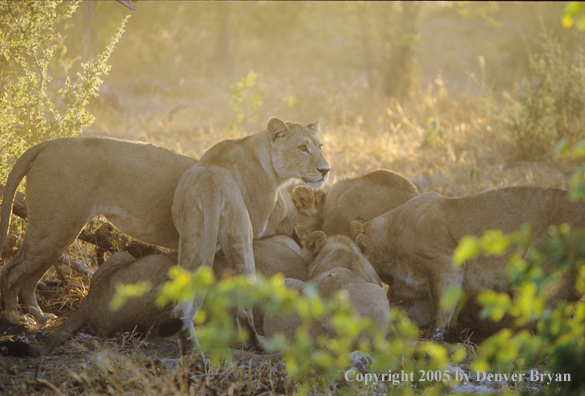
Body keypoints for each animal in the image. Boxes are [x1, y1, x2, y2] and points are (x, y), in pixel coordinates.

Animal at [350, 186, 584, 338]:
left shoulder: (445, 263)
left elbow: (441, 308)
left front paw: (433, 339)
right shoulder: (419, 297)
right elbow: (402, 311)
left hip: (545, 271)